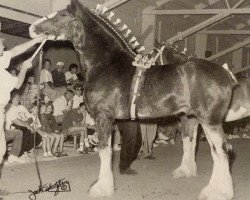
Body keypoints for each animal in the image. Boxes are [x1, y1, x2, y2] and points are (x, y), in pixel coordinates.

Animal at [28, 0, 236, 199]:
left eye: (63, 14)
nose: (33, 28)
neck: (106, 63)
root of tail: (226, 75)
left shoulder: (103, 117)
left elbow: (105, 151)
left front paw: (102, 188)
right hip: (196, 119)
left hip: (210, 121)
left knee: (222, 150)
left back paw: (218, 192)